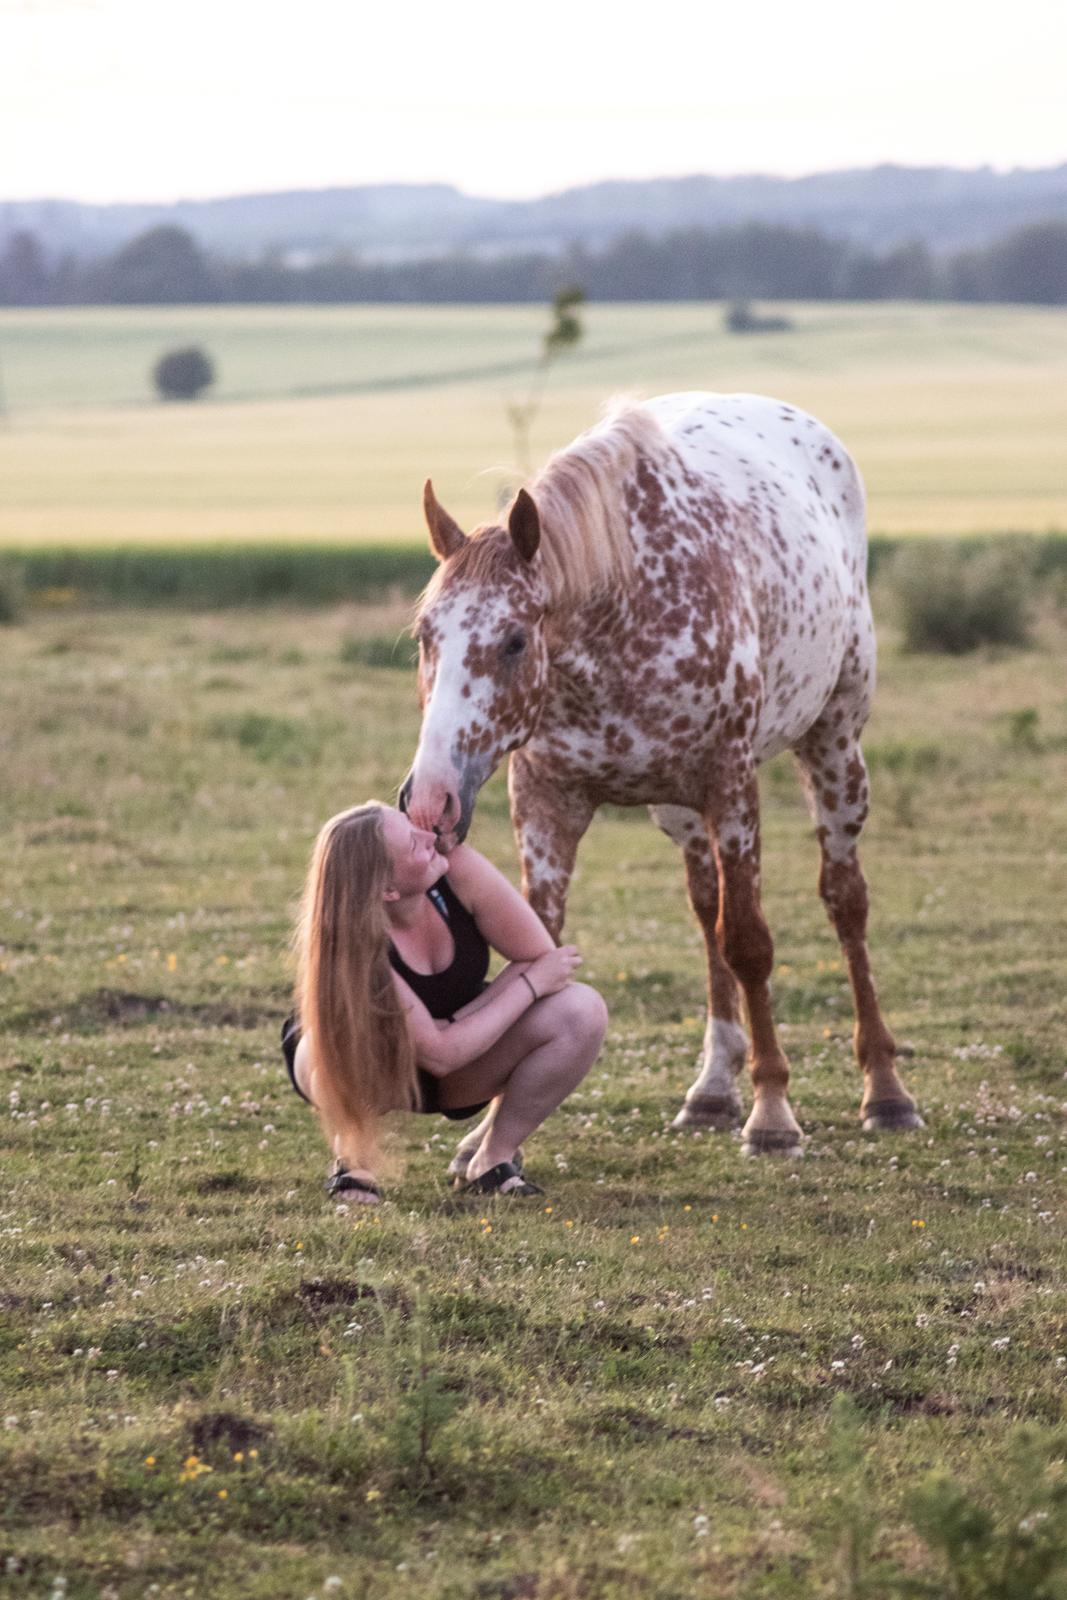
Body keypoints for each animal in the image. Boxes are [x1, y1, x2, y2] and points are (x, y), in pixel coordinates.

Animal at [396, 393, 921, 1158]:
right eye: (425, 636)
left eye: (515, 640)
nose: (431, 797)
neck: (621, 614)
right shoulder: (545, 802)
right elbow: (540, 952)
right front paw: (492, 1134)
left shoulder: (732, 786)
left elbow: (749, 942)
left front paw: (773, 1115)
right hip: (679, 811)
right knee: (705, 909)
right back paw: (711, 1089)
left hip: (834, 747)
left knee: (843, 900)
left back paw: (884, 1090)